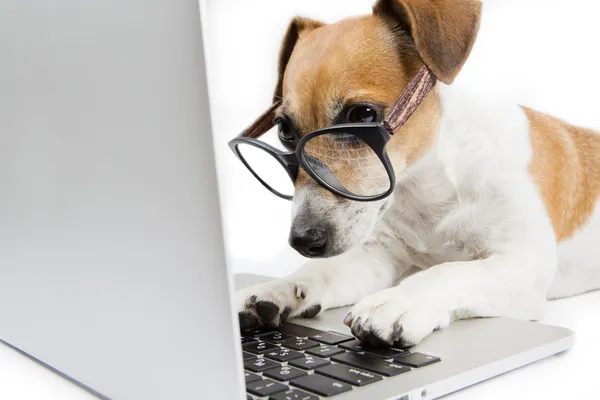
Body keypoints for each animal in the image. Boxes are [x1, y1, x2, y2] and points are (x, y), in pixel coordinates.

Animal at [234, 0, 600, 346]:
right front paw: (278, 288)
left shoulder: (522, 266)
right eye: (284, 130)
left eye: (362, 115)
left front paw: (396, 301)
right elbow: (320, 271)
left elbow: (448, 272)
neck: (430, 189)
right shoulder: (377, 257)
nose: (303, 240)